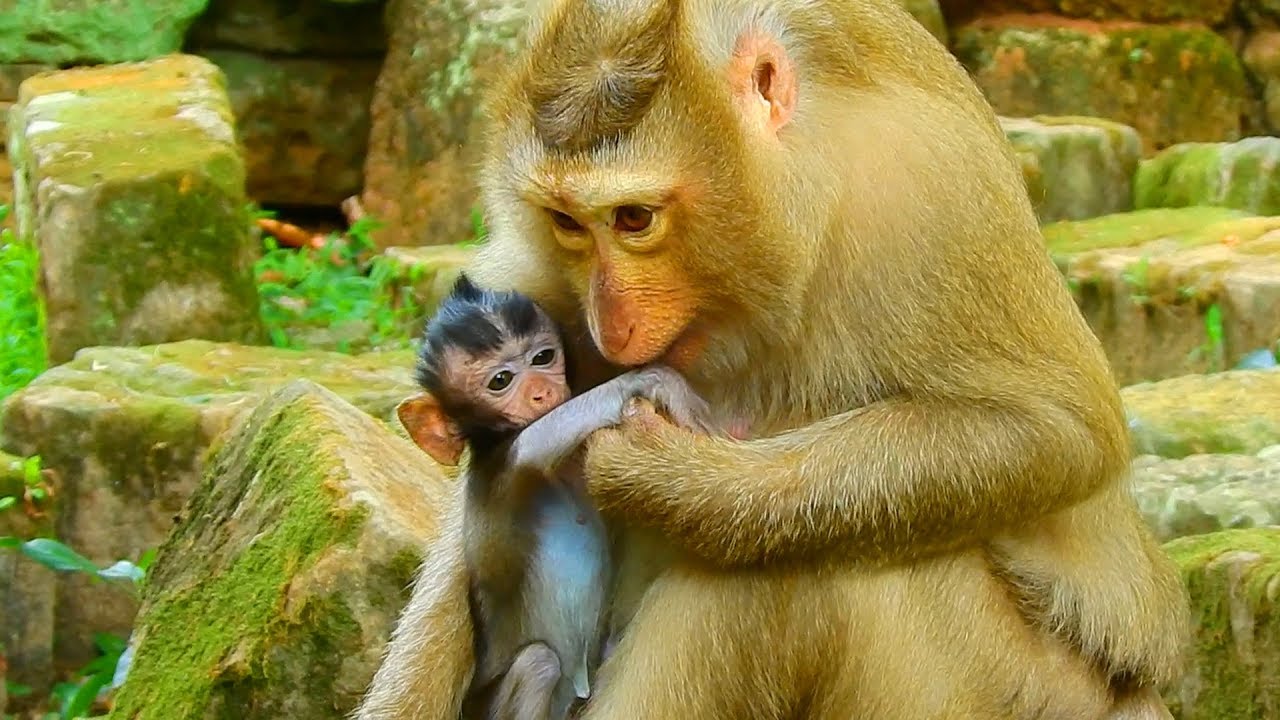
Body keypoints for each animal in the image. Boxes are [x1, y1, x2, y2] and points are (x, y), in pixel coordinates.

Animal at [396, 273, 725, 720]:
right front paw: (657, 380)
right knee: (539, 663)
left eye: (543, 357)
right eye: (500, 381)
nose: (541, 391)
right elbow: (540, 439)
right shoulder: (505, 466)